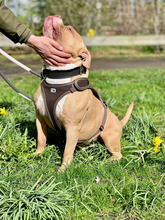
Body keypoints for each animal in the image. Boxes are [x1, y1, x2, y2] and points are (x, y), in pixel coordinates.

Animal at [33, 15, 134, 171]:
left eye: (69, 29)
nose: (56, 16)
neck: (57, 77)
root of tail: (119, 122)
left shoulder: (72, 126)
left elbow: (67, 150)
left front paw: (63, 169)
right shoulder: (40, 118)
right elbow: (41, 139)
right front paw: (37, 154)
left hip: (109, 137)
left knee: (118, 154)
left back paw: (106, 161)